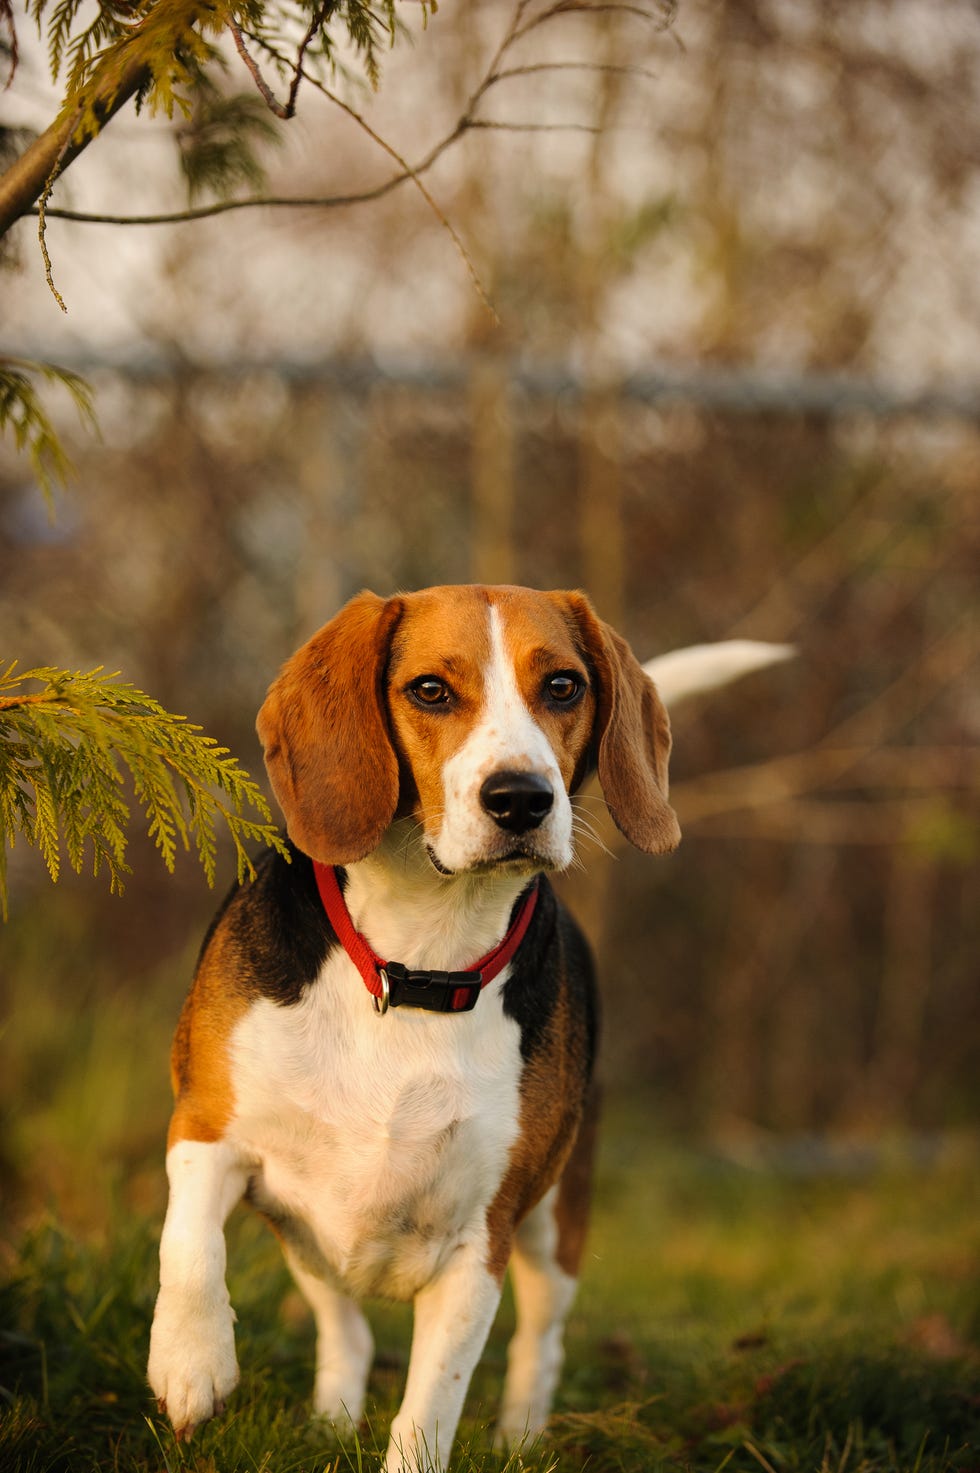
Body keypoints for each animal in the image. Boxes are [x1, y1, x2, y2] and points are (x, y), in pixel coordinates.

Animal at [145, 586, 789, 1473]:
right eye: (429, 690)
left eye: (563, 686)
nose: (522, 797)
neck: (419, 959)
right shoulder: (207, 1123)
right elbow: (190, 1244)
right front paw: (191, 1362)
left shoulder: (480, 1240)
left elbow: (429, 1408)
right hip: (303, 1234)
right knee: (343, 1325)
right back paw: (330, 1417)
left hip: (554, 1224)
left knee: (540, 1341)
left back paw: (521, 1434)